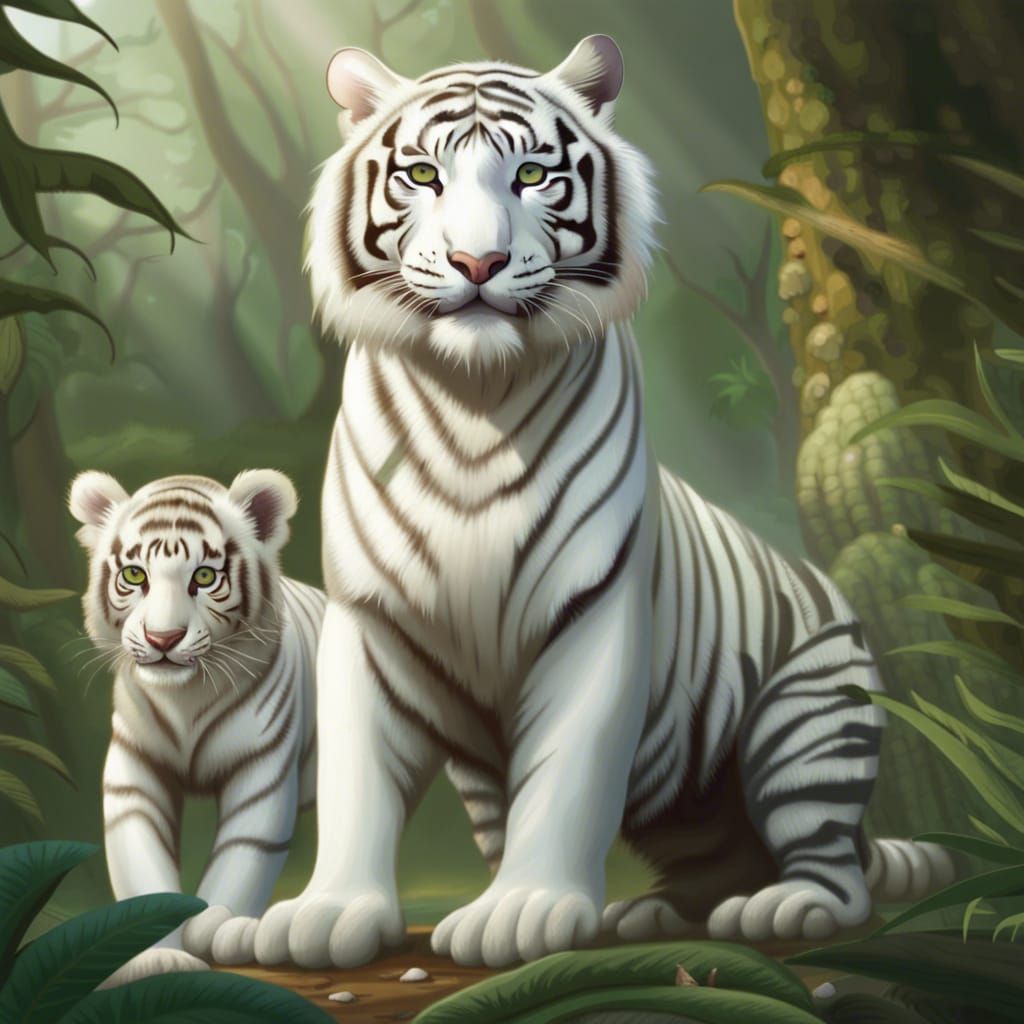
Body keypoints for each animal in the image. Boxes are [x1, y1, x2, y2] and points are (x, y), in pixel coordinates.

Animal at [68, 469, 324, 983]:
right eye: (135, 575)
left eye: (204, 576)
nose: (162, 639)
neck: (185, 698)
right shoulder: (135, 772)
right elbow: (140, 864)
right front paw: (157, 957)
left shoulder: (261, 771)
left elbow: (240, 861)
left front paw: (218, 929)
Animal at [221, 35, 953, 970]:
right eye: (422, 175)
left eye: (532, 175)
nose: (478, 264)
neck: (476, 397)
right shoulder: (374, 620)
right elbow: (359, 780)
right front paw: (327, 913)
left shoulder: (592, 610)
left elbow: (566, 772)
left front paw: (522, 911)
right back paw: (651, 914)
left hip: (811, 719)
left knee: (832, 860)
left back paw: (786, 907)